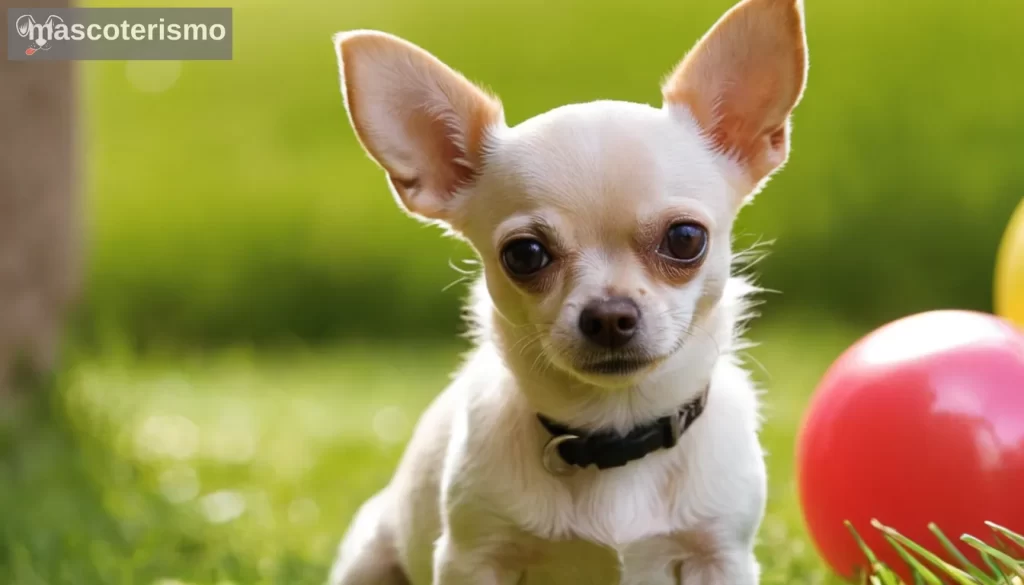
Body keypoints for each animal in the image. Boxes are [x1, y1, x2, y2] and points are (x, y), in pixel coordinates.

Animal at [327, 1, 806, 581]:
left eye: (686, 239)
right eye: (524, 254)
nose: (609, 316)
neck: (616, 433)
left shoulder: (719, 555)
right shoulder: (475, 557)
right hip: (368, 557)